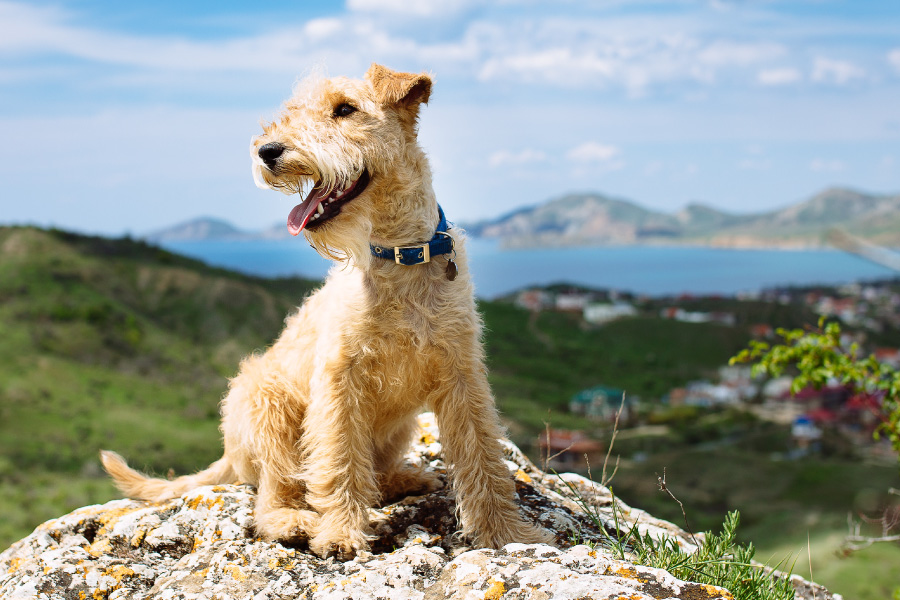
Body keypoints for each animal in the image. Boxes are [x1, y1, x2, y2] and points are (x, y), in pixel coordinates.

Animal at [98, 63, 548, 560]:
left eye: (345, 109)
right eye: (294, 110)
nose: (267, 151)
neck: (397, 257)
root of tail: (229, 454)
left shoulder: (462, 375)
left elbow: (483, 456)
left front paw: (507, 533)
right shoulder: (339, 380)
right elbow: (340, 461)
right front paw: (340, 534)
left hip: (398, 428)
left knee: (371, 472)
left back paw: (405, 479)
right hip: (267, 408)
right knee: (273, 497)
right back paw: (294, 521)